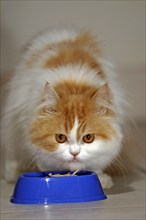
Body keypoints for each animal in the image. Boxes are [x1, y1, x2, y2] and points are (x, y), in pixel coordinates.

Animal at [1, 27, 124, 188]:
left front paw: (101, 179)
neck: (74, 86)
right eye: (60, 138)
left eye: (88, 138)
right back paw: (11, 173)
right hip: (13, 116)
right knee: (12, 150)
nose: (74, 153)